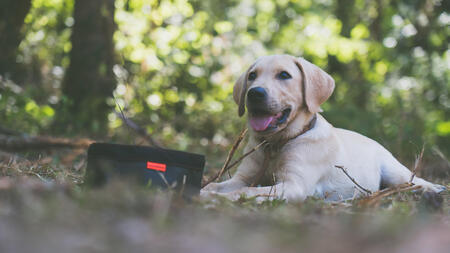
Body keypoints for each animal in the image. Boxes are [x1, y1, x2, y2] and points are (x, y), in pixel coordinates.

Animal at [201, 54, 446, 202]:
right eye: (252, 76)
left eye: (284, 75)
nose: (255, 93)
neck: (277, 143)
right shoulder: (243, 176)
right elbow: (222, 186)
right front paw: (204, 191)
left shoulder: (294, 185)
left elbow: (246, 191)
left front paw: (214, 199)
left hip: (395, 172)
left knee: (414, 180)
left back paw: (434, 189)